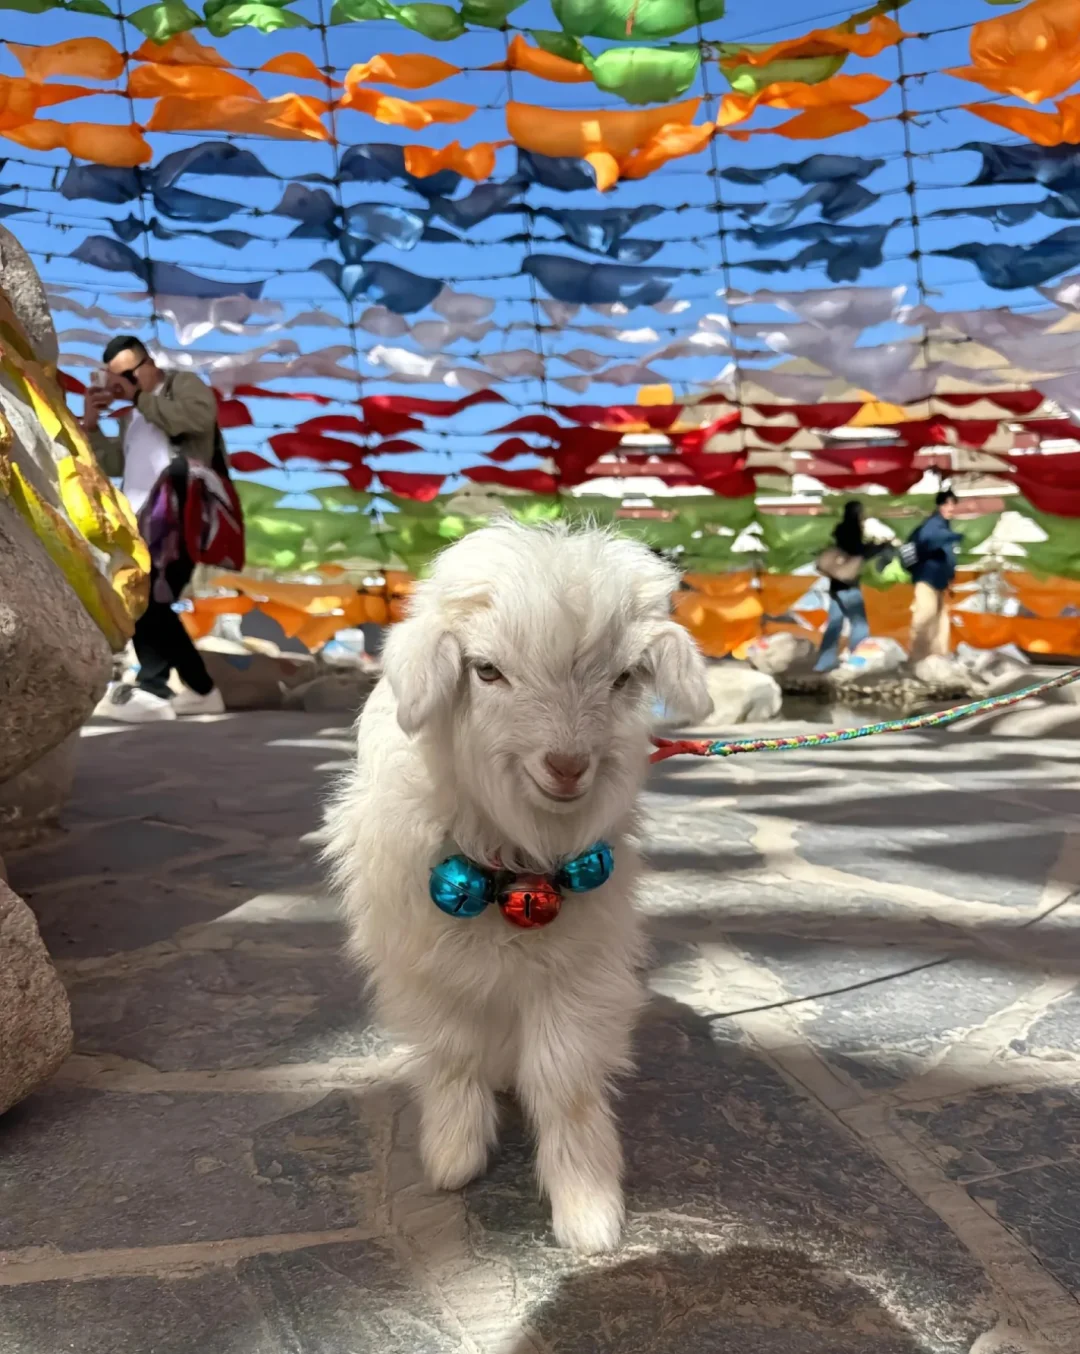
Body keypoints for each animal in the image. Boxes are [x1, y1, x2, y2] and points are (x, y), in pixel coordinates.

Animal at [323, 521, 710, 1252]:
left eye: (625, 677)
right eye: (486, 670)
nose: (567, 766)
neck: (512, 860)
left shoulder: (580, 972)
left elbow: (564, 1078)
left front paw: (588, 1209)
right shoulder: (426, 965)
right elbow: (452, 1055)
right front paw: (453, 1155)